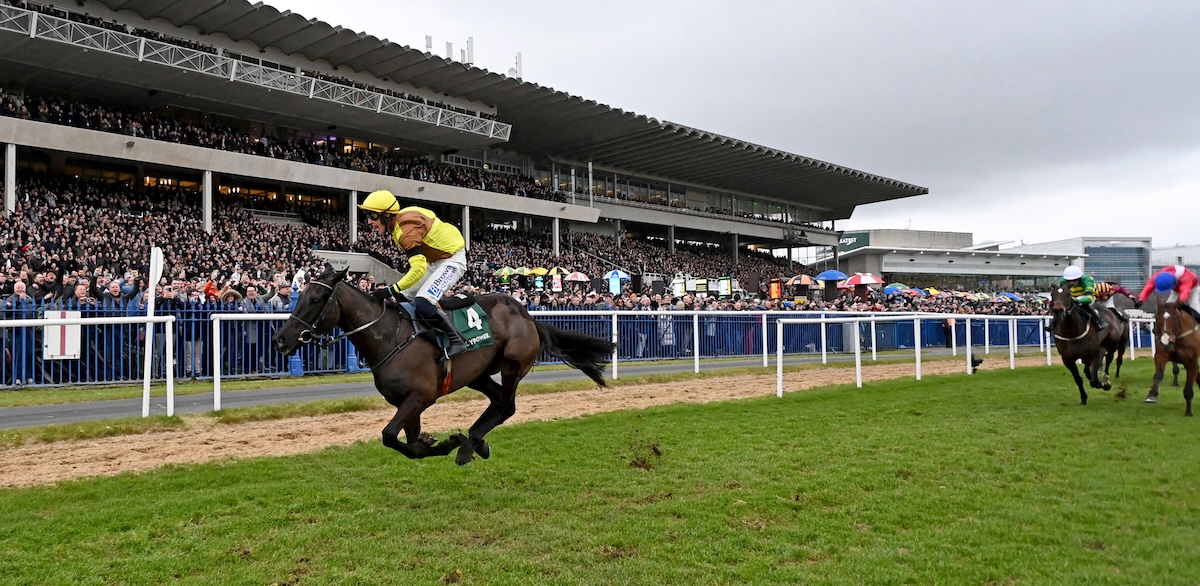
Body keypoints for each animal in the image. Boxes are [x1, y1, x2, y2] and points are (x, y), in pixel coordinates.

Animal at [273, 267, 619, 463]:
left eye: (315, 299)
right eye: (300, 295)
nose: (280, 339)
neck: (388, 337)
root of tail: (527, 314)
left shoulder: (420, 397)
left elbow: (389, 435)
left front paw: (452, 443)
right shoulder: (407, 403)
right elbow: (410, 445)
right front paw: (439, 441)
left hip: (512, 364)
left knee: (506, 407)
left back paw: (468, 446)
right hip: (477, 374)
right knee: (496, 401)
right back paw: (476, 443)